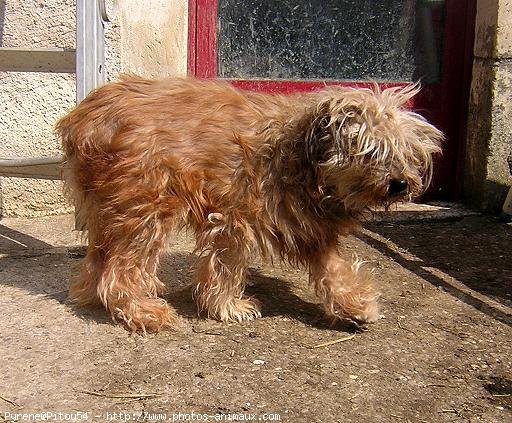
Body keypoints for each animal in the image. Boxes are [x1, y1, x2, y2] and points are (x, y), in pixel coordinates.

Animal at [55, 78, 440, 332]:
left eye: (407, 152)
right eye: (371, 151)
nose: (400, 184)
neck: (299, 157)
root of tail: (84, 117)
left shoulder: (312, 230)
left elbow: (334, 270)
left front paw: (355, 305)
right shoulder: (231, 220)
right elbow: (225, 267)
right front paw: (228, 306)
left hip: (110, 210)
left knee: (99, 260)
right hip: (146, 208)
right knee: (119, 272)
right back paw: (142, 311)